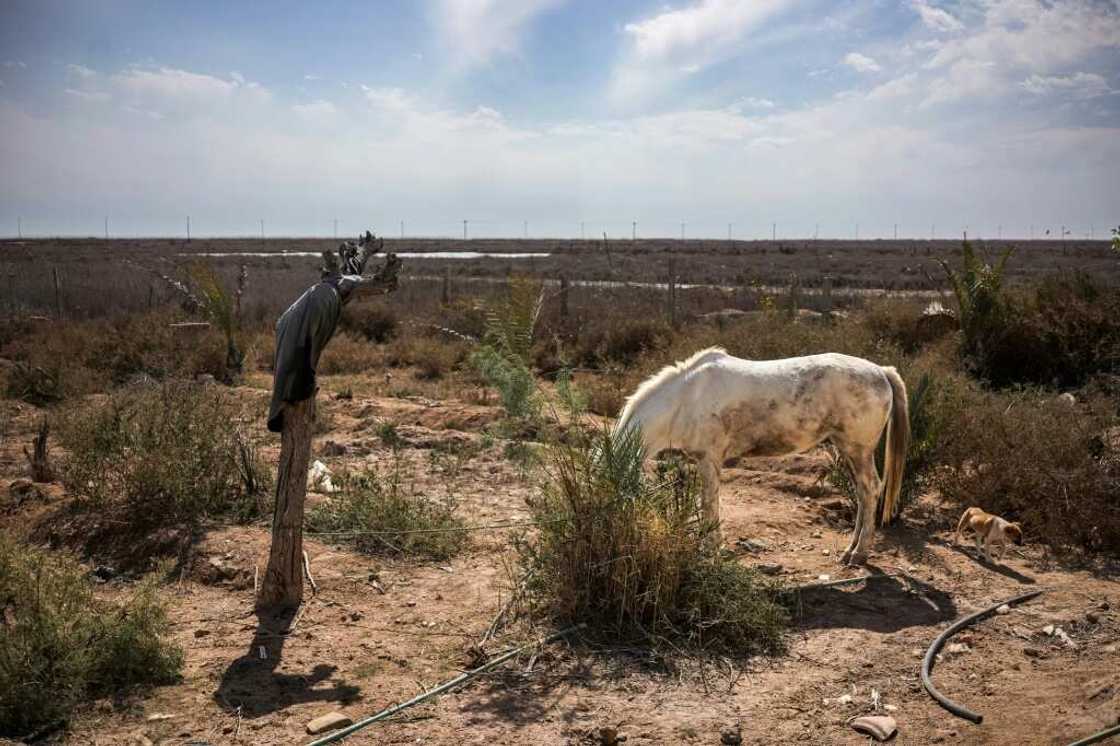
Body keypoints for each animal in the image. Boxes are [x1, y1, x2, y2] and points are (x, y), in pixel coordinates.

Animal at [613, 347, 909, 564]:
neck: (685, 399)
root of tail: (881, 372)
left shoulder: (709, 460)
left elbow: (709, 505)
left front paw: (711, 550)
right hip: (847, 450)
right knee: (862, 493)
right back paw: (851, 549)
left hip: (858, 449)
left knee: (870, 489)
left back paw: (859, 553)